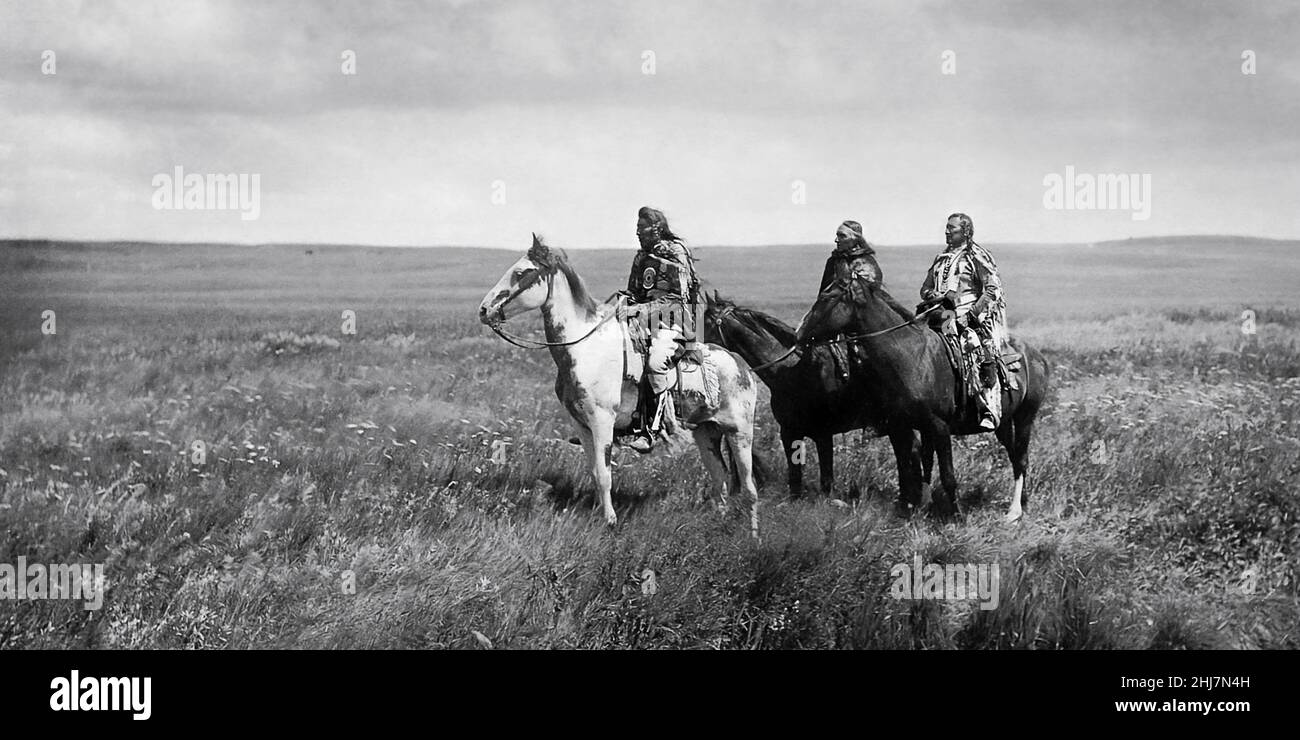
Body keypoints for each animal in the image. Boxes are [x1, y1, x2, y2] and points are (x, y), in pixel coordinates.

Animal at [478, 234, 759, 533]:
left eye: (522, 272)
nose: (484, 310)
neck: (585, 348)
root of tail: (742, 366)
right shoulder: (581, 424)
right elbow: (594, 472)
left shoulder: (602, 420)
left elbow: (605, 475)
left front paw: (610, 521)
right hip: (707, 432)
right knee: (721, 478)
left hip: (739, 432)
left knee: (749, 486)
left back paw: (753, 535)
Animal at [702, 291, 925, 499]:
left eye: (708, 326)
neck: (791, 371)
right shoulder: (789, 433)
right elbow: (795, 478)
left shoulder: (823, 434)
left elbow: (826, 479)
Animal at [790, 274, 1055, 522]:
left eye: (827, 297)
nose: (798, 334)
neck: (911, 356)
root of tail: (1036, 355)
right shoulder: (904, 426)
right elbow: (918, 466)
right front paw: (917, 507)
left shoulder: (939, 426)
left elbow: (946, 474)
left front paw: (956, 516)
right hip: (1003, 422)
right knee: (1015, 456)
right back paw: (1023, 502)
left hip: (1025, 417)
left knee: (1021, 458)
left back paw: (1014, 511)